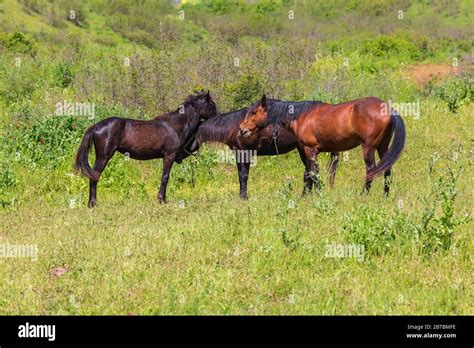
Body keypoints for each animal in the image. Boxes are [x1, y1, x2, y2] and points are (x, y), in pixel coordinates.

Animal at [74, 91, 218, 208]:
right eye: (212, 104)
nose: (219, 116)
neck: (175, 125)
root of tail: (96, 126)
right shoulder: (169, 155)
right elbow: (165, 177)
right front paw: (161, 200)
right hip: (104, 156)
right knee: (94, 176)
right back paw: (92, 204)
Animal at [239, 94, 406, 194]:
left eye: (254, 112)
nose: (241, 129)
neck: (301, 116)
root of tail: (388, 109)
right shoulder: (307, 152)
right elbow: (308, 175)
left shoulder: (310, 150)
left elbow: (314, 174)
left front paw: (319, 194)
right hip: (383, 146)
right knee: (387, 169)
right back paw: (385, 195)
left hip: (368, 147)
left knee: (371, 170)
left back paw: (363, 194)